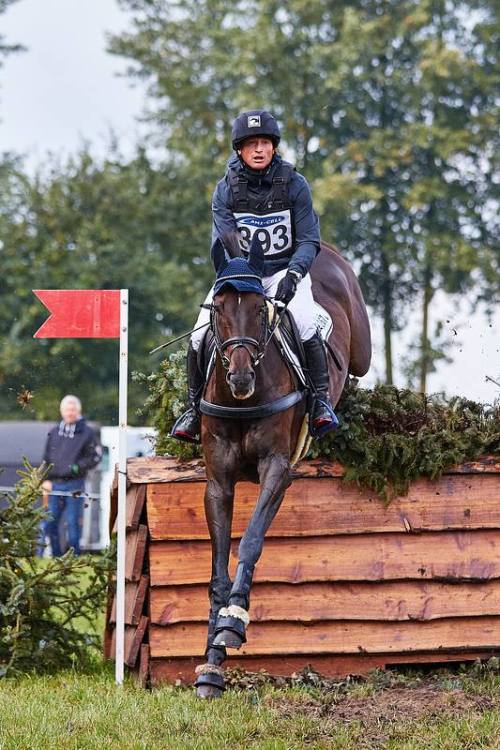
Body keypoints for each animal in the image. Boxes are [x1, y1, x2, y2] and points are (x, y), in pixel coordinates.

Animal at [194, 235, 372, 700]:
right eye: (218, 309)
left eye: (260, 309)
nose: (239, 379)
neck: (242, 401)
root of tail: (328, 250)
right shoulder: (218, 481)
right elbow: (218, 564)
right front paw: (211, 664)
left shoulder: (277, 468)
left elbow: (251, 541)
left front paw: (234, 622)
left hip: (361, 349)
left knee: (358, 367)